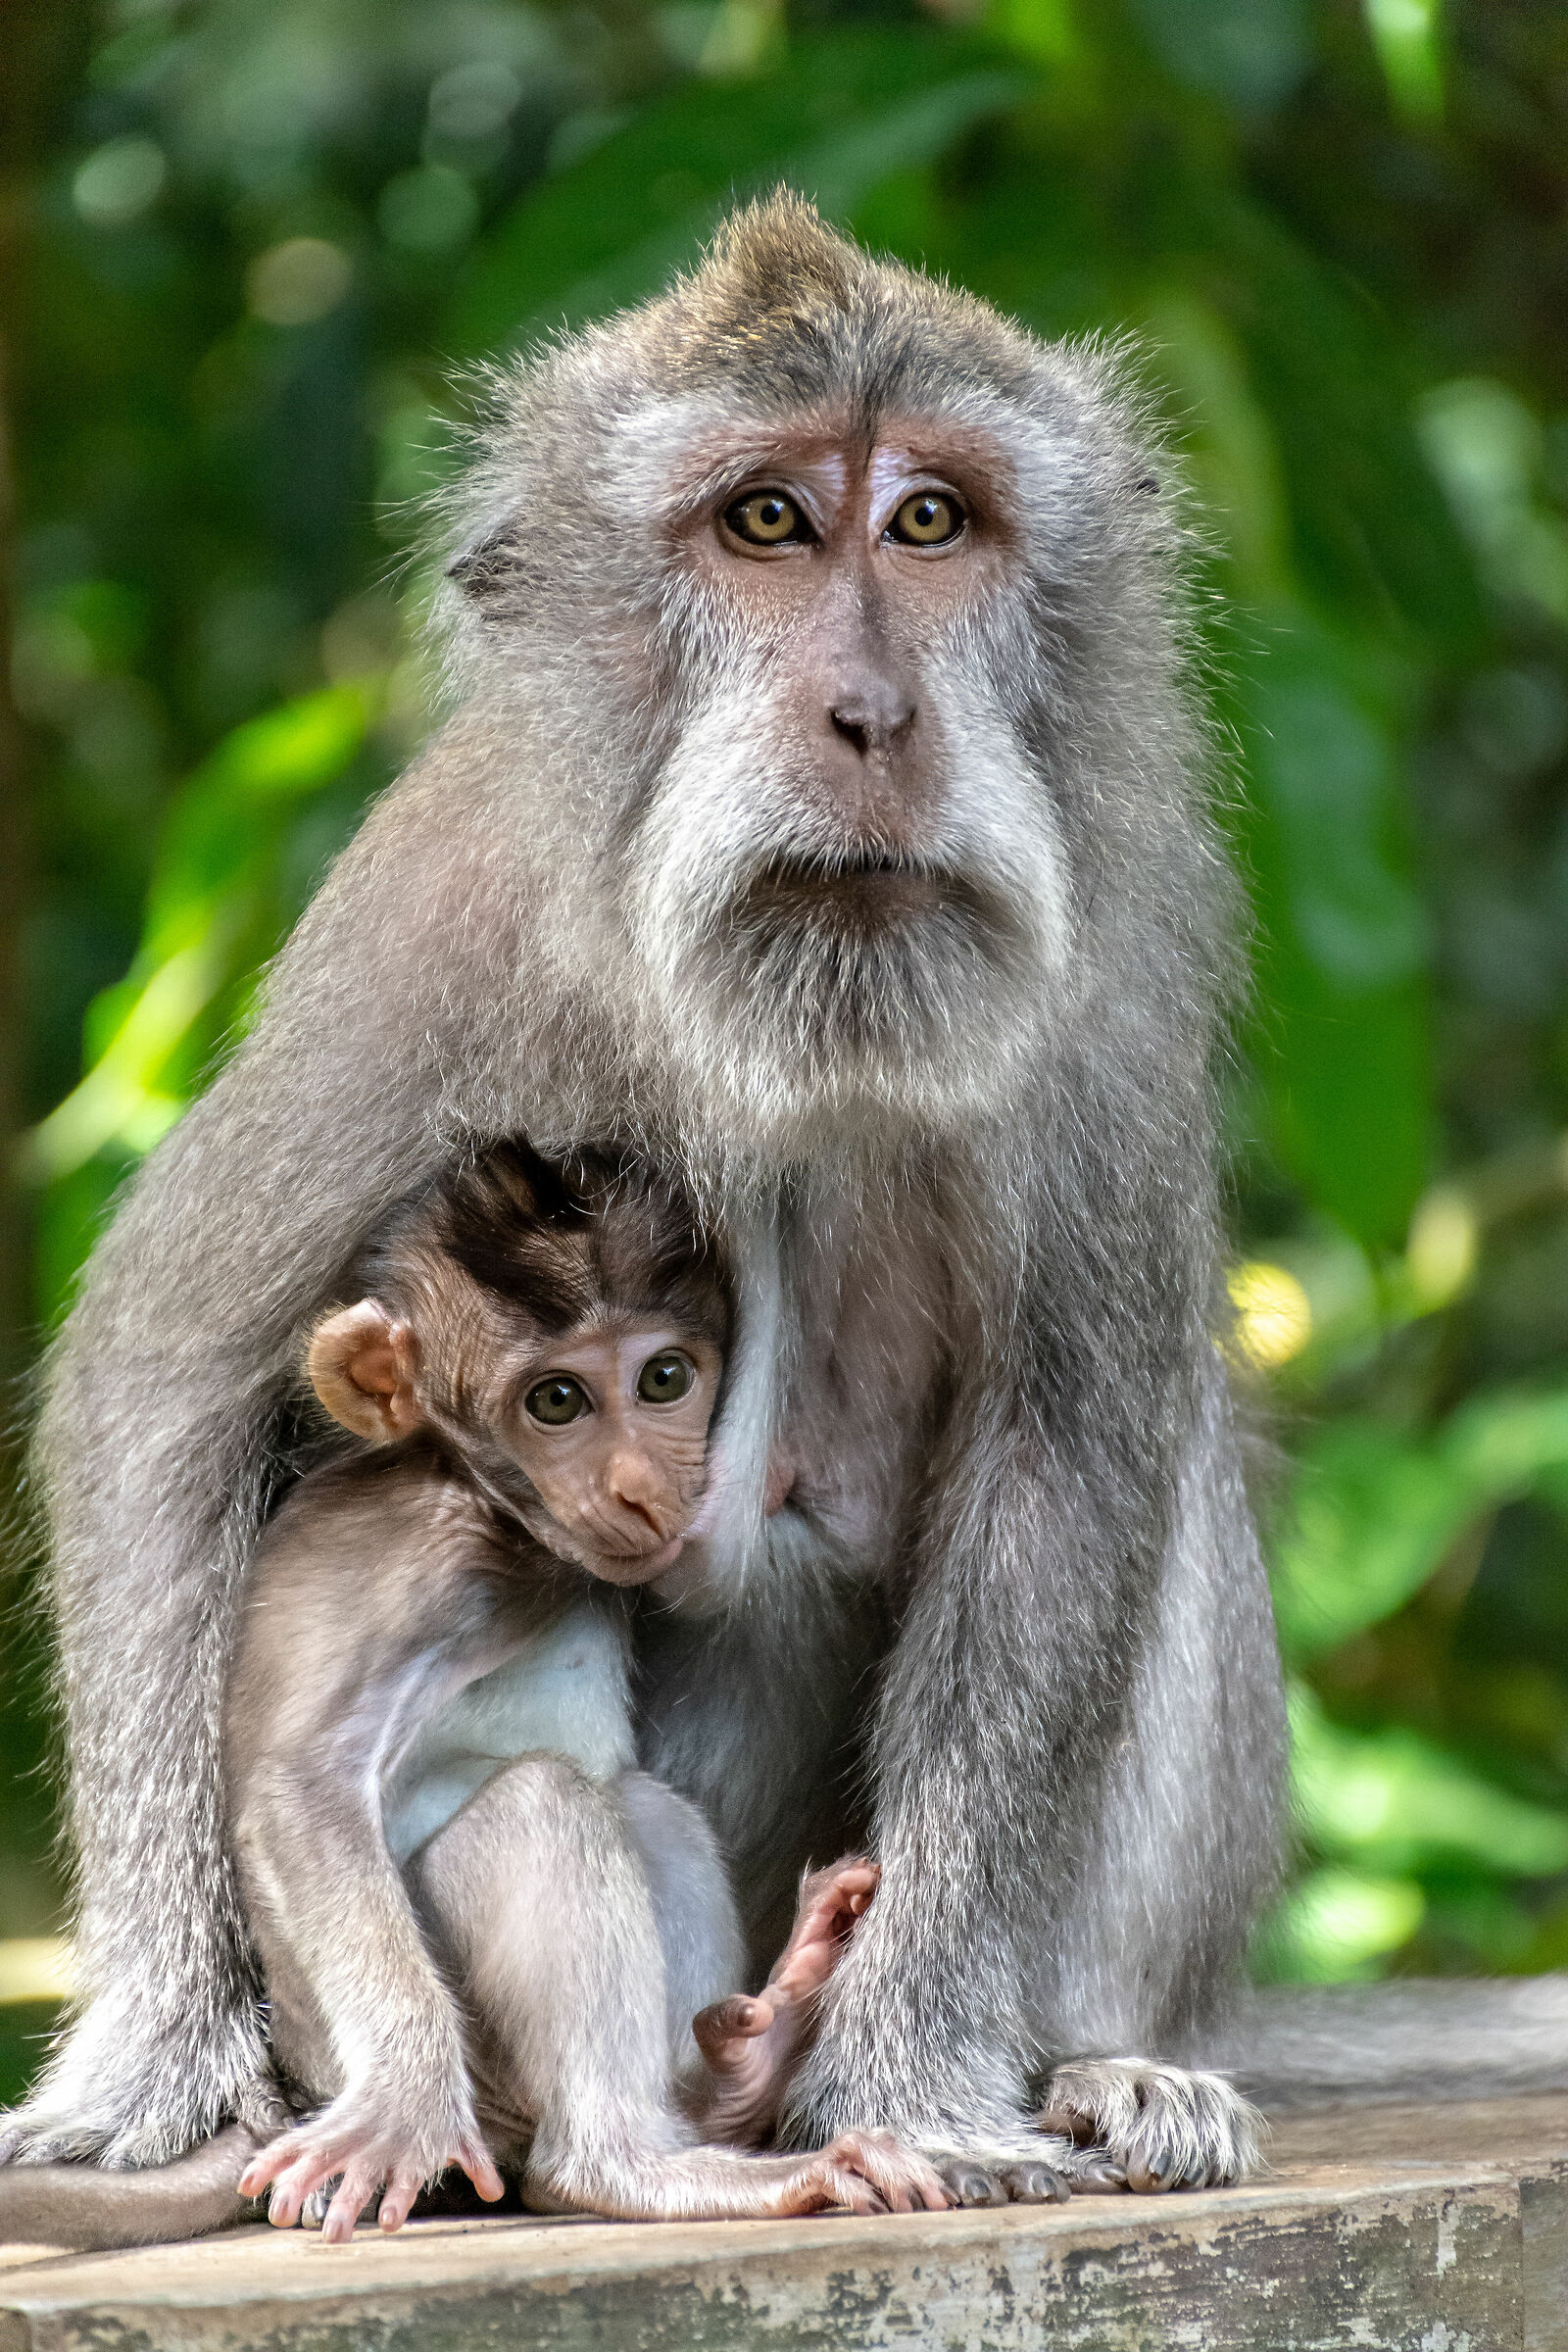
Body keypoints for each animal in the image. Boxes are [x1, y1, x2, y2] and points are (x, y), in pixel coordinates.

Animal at [9, 193, 1565, 2220]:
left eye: (929, 522)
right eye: (766, 521)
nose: (875, 713)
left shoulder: (1116, 970)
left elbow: (1071, 1442)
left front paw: (915, 2073)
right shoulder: (433, 924)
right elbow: (173, 1364)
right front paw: (164, 2056)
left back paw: (1083, 2057)